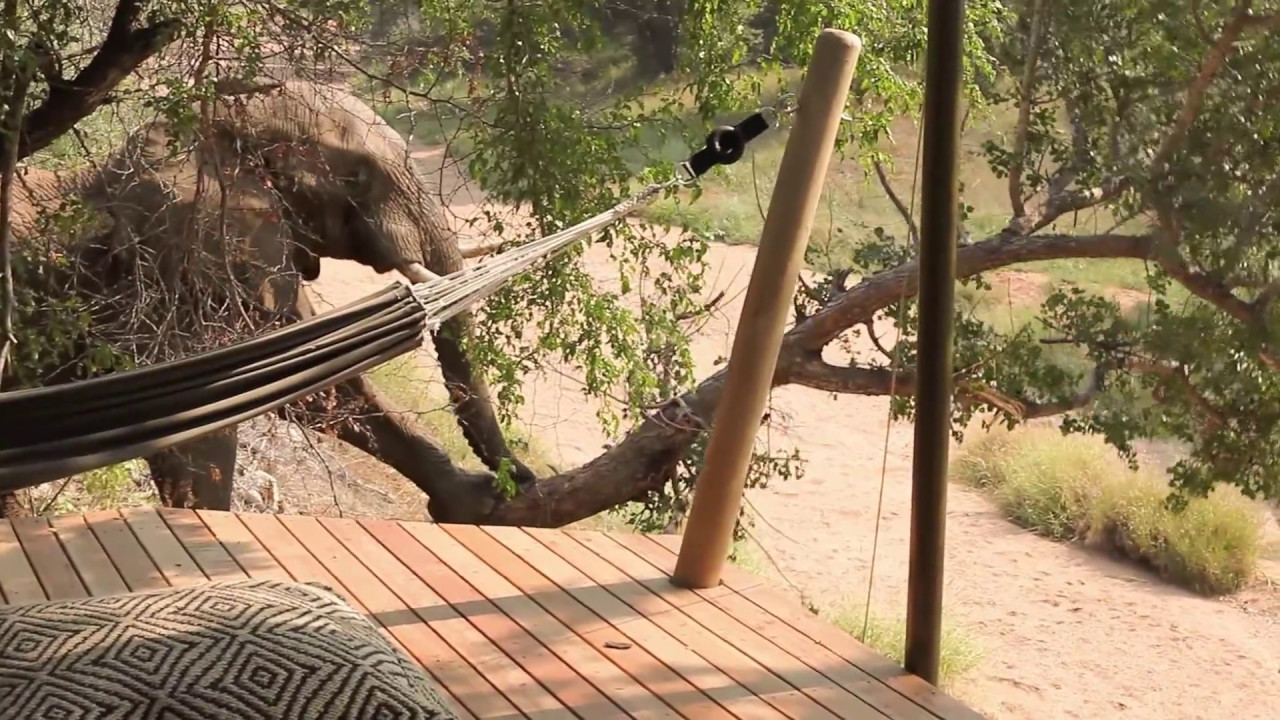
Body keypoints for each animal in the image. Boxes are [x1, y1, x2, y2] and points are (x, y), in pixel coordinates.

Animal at [4, 78, 533, 514]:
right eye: (357, 175)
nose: (522, 477)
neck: (213, 121)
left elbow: (316, 381)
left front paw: (470, 502)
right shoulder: (177, 270)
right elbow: (201, 425)